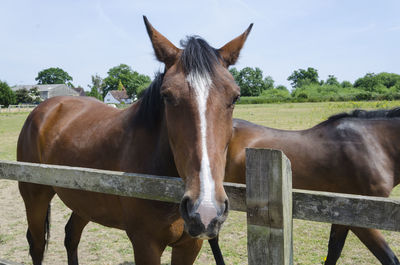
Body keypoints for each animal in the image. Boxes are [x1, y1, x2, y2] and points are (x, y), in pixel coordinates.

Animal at [17, 17, 253, 264]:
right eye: (167, 95)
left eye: (235, 97)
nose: (205, 210)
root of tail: (45, 107)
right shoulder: (145, 244)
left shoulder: (190, 246)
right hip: (35, 197)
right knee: (37, 245)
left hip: (84, 202)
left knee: (71, 236)